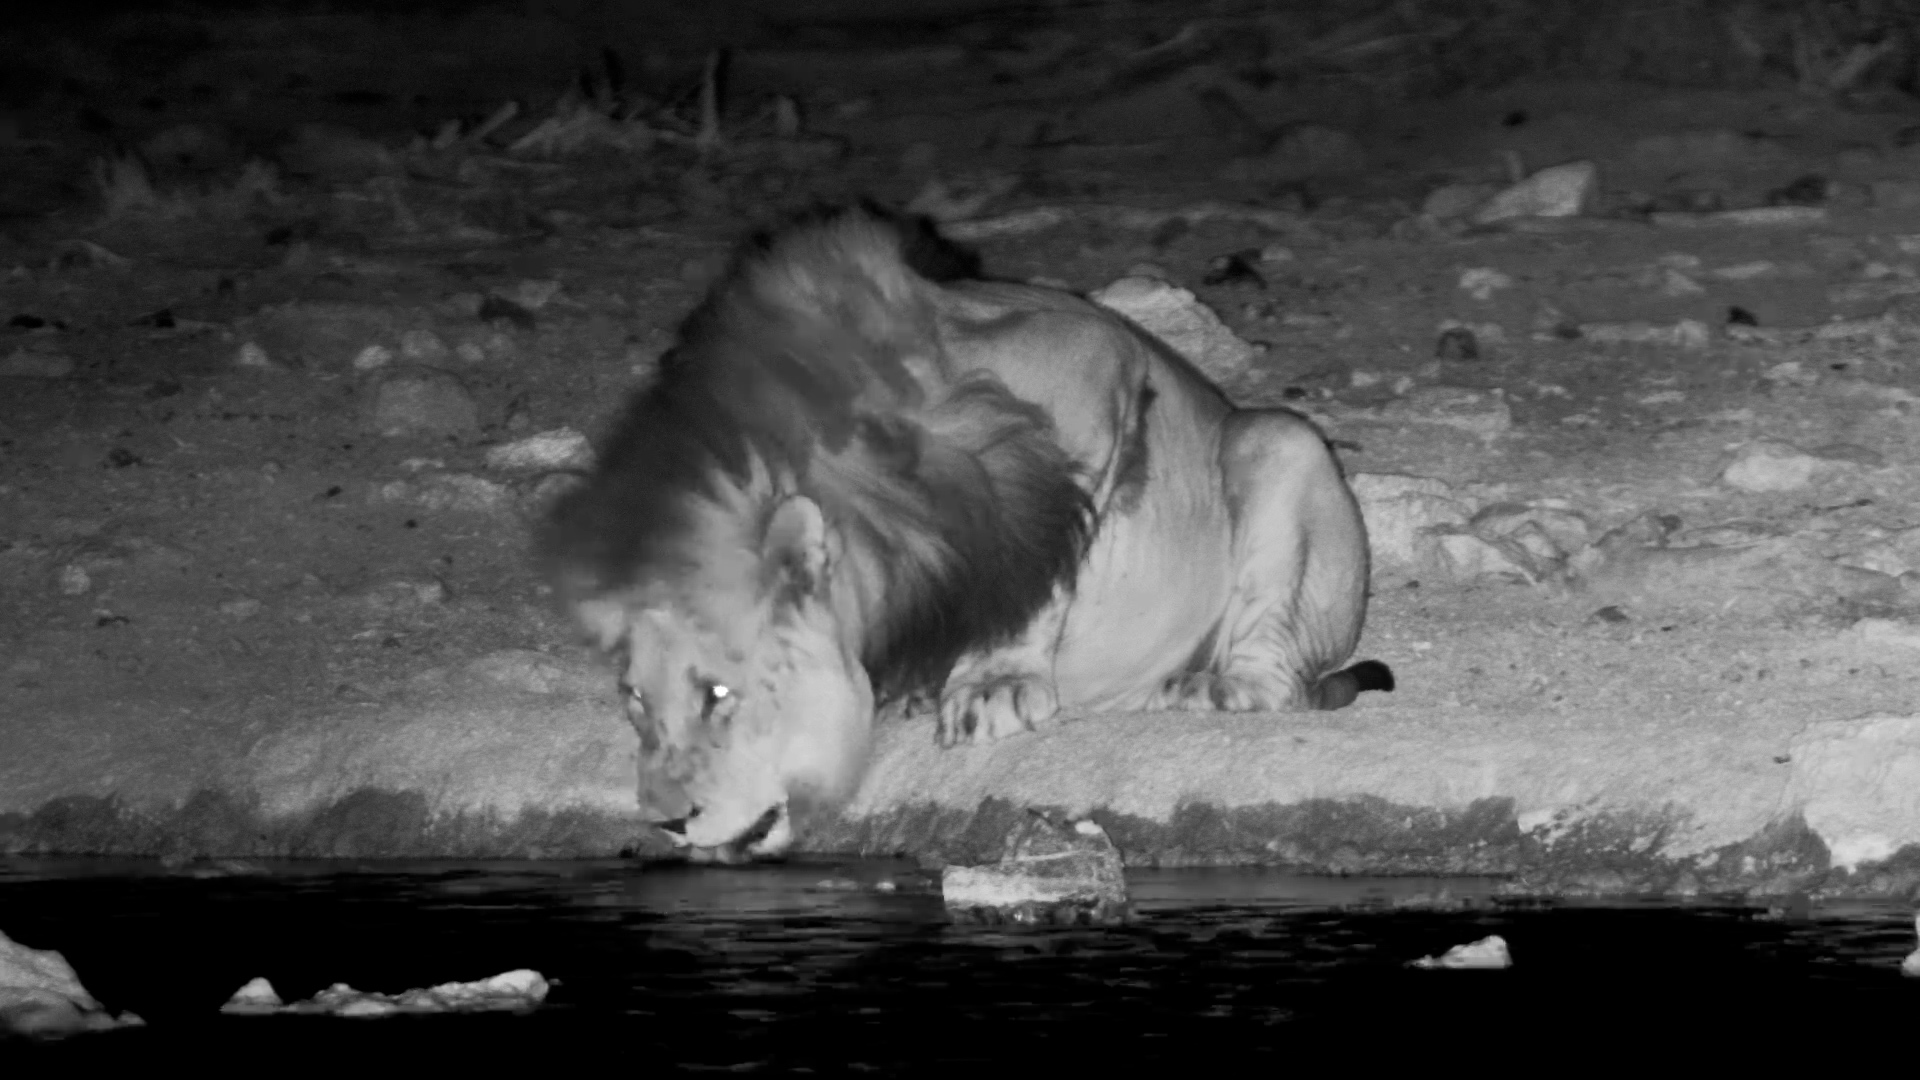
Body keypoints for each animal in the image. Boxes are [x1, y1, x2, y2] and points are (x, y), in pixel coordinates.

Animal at [541, 205, 1392, 859]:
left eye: (719, 692)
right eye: (632, 699)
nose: (666, 821)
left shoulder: (1089, 361)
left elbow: (1039, 565)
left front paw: (994, 686)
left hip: (1278, 443)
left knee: (1277, 678)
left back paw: (1204, 687)